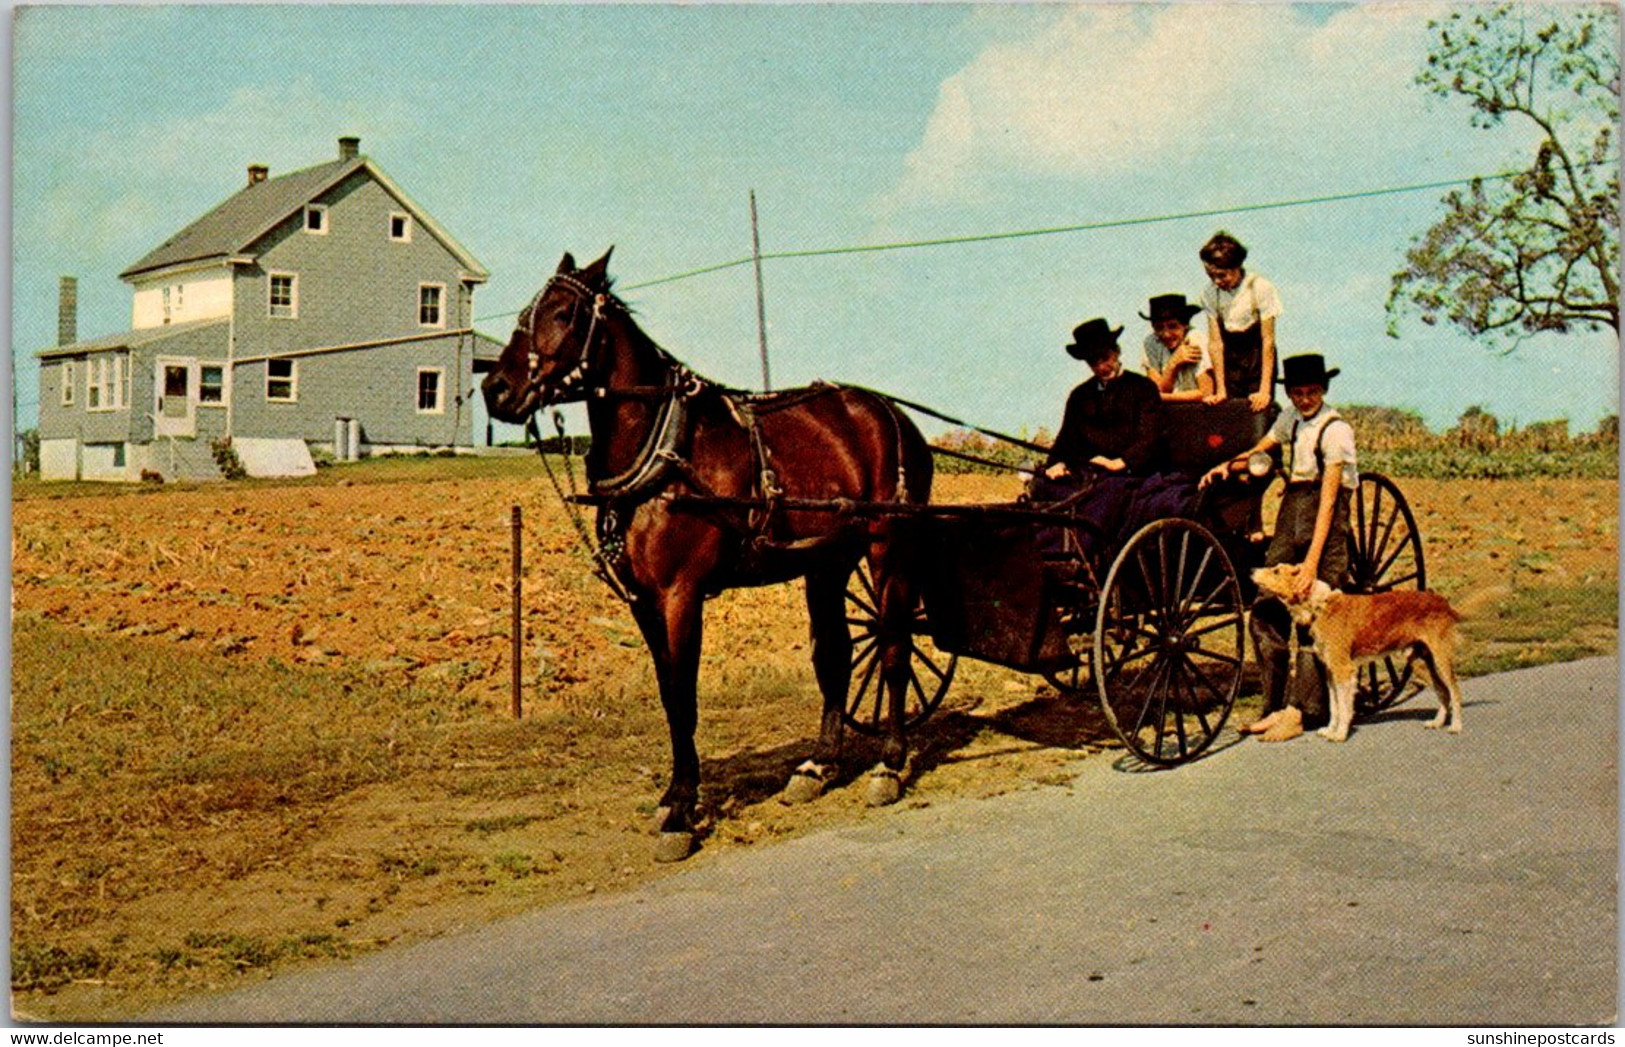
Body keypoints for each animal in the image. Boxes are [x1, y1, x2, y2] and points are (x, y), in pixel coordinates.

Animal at [481, 248, 936, 864]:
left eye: (563, 313)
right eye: (526, 311)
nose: (495, 390)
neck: (664, 450)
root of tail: (891, 415)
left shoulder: (682, 594)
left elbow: (685, 694)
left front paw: (680, 812)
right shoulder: (642, 602)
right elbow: (669, 694)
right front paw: (676, 796)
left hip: (890, 547)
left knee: (892, 646)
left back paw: (889, 764)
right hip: (828, 562)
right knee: (837, 655)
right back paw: (819, 766)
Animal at [1248, 565, 1469, 744]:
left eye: (1276, 571)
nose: (1251, 570)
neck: (1320, 606)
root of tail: (1442, 601)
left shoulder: (1344, 670)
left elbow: (1345, 707)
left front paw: (1340, 734)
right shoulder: (1330, 672)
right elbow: (1334, 706)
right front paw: (1330, 730)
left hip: (1440, 659)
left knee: (1454, 691)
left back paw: (1456, 726)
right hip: (1419, 661)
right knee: (1443, 692)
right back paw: (1437, 722)